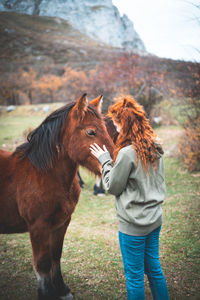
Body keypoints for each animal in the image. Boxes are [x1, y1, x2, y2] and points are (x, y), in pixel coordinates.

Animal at [0, 94, 114, 300]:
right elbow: (43, 263)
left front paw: (61, 289)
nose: (115, 162)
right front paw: (46, 293)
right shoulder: (38, 227)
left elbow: (56, 255)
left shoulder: (61, 223)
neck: (44, 174)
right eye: (91, 132)